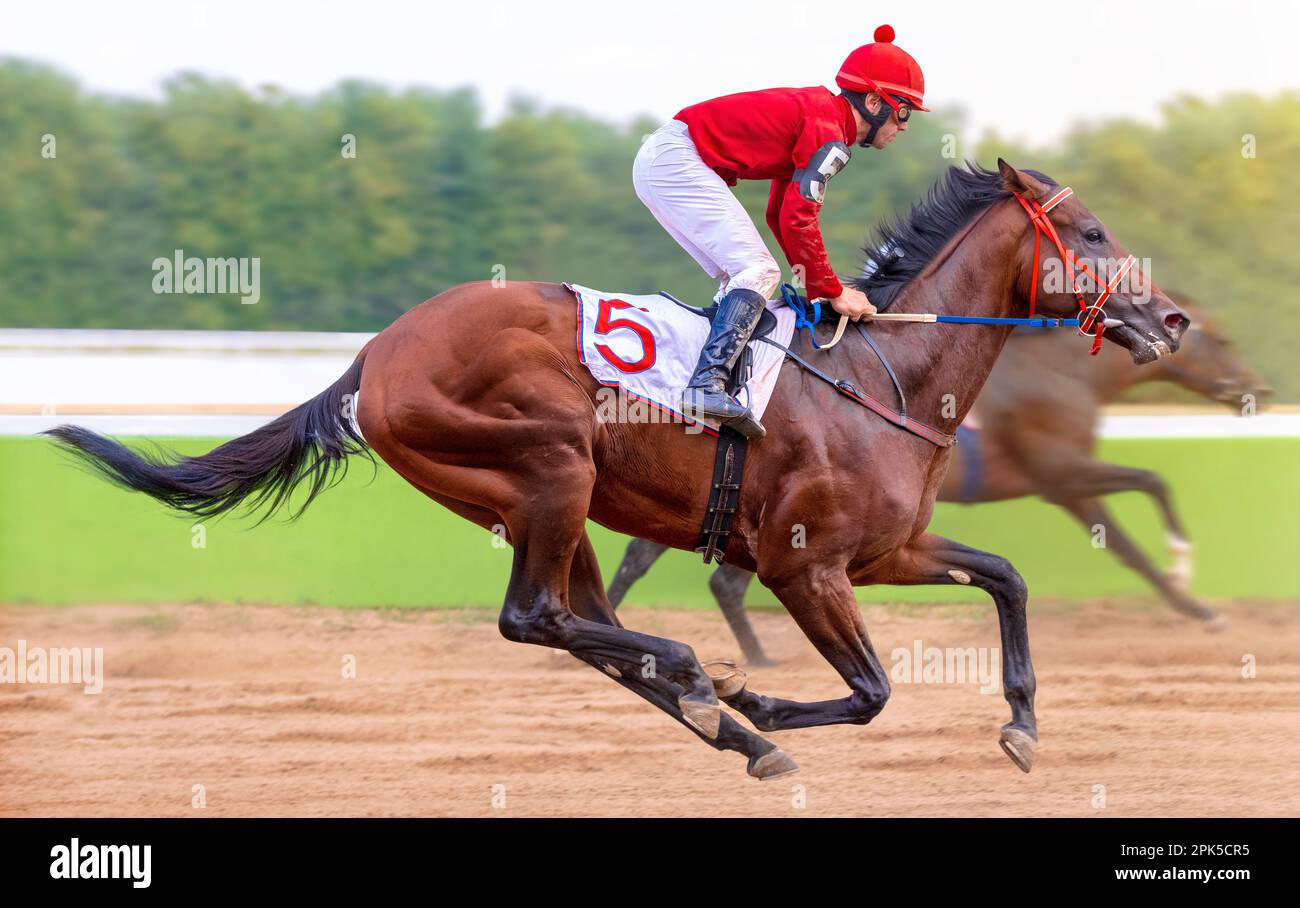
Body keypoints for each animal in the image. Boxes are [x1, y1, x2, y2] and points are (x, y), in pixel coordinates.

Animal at [44, 161, 1190, 779]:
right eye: (1092, 231)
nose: (1173, 317)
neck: (887, 375)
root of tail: (374, 355)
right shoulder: (803, 564)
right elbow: (870, 690)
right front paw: (757, 695)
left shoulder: (887, 549)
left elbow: (1007, 577)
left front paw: (1023, 724)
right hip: (549, 464)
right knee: (537, 619)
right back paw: (707, 686)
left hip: (548, 500)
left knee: (575, 623)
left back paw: (721, 720)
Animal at [607, 293, 1269, 664]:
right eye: (1225, 338)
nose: (1258, 388)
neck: (1060, 375)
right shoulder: (1062, 476)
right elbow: (1143, 510)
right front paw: (1193, 596)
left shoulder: (1063, 484)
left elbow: (1145, 495)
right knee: (688, 570)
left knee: (682, 566)